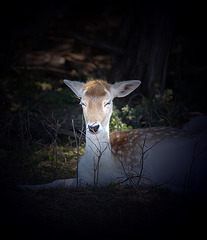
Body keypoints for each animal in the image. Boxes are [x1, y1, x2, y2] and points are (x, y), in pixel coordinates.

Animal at [19, 79, 207, 196]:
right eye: (82, 102)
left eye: (108, 102)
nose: (93, 127)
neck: (102, 169)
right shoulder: (82, 178)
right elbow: (56, 181)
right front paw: (23, 185)